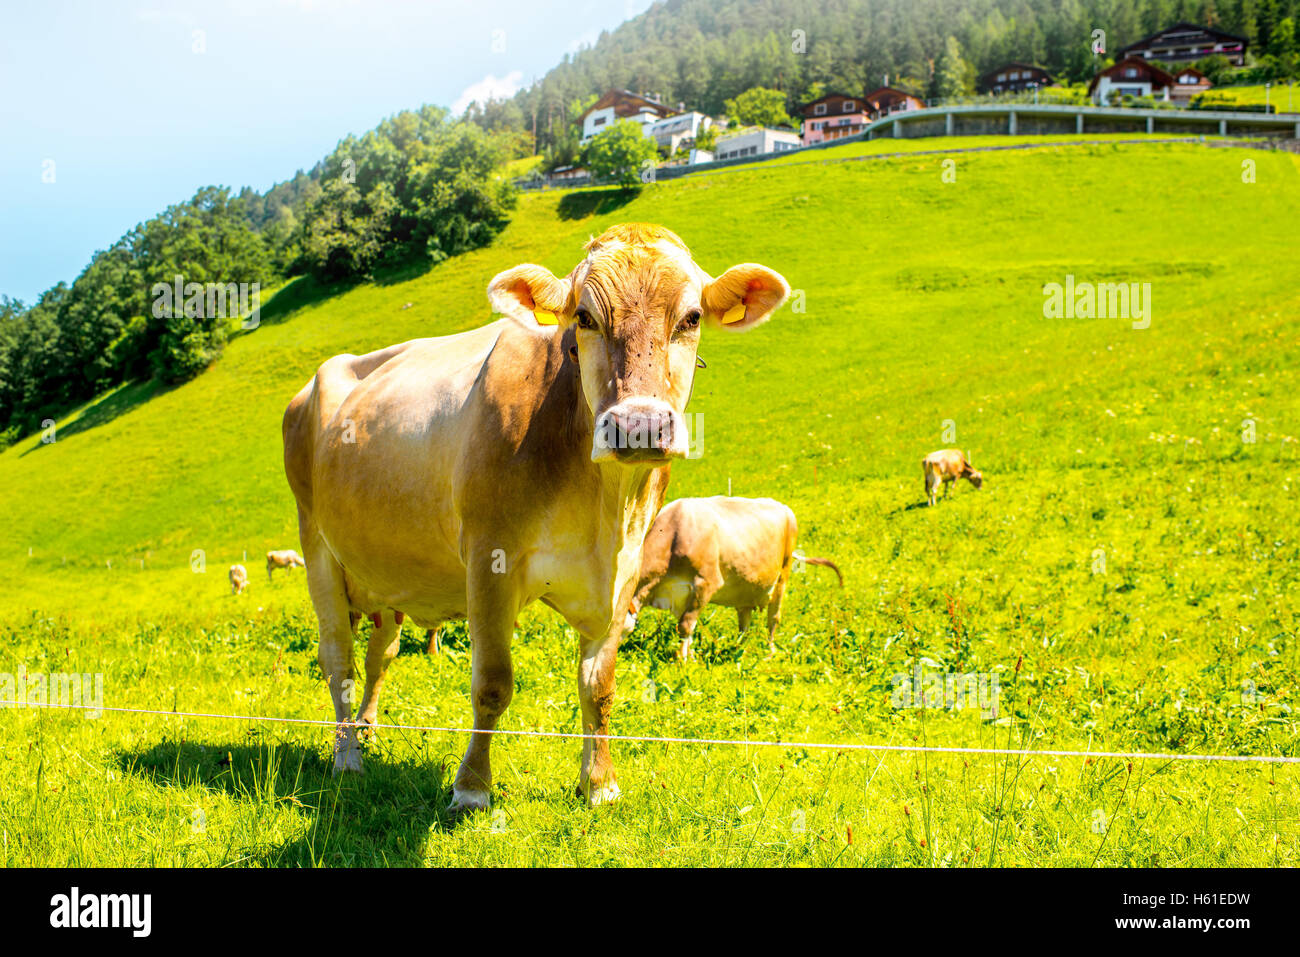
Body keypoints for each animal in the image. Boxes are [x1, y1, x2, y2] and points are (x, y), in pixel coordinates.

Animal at [282, 223, 790, 811]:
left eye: (691, 318)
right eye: (584, 318)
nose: (638, 425)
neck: (603, 506)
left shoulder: (623, 571)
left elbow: (599, 686)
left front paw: (599, 784)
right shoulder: (489, 558)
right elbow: (492, 683)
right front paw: (472, 788)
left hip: (385, 572)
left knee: (377, 655)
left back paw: (366, 728)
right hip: (317, 544)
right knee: (337, 656)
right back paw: (347, 757)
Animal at [626, 496, 842, 659]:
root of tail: (783, 507)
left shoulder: (705, 584)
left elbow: (685, 626)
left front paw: (682, 660)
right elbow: (687, 628)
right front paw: (691, 656)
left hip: (783, 575)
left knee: (773, 618)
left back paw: (769, 651)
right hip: (747, 588)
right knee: (744, 623)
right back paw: (739, 651)